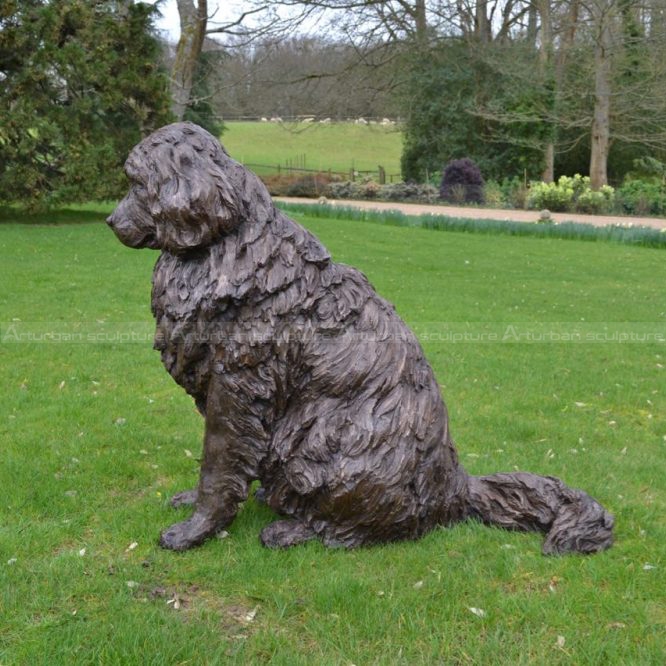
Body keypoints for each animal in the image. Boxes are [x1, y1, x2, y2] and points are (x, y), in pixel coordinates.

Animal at [107, 122, 612, 552]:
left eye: (136, 183)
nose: (110, 221)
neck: (227, 247)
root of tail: (456, 489)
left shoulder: (238, 379)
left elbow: (218, 463)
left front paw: (194, 531)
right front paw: (192, 504)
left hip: (324, 438)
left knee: (360, 529)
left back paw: (292, 530)